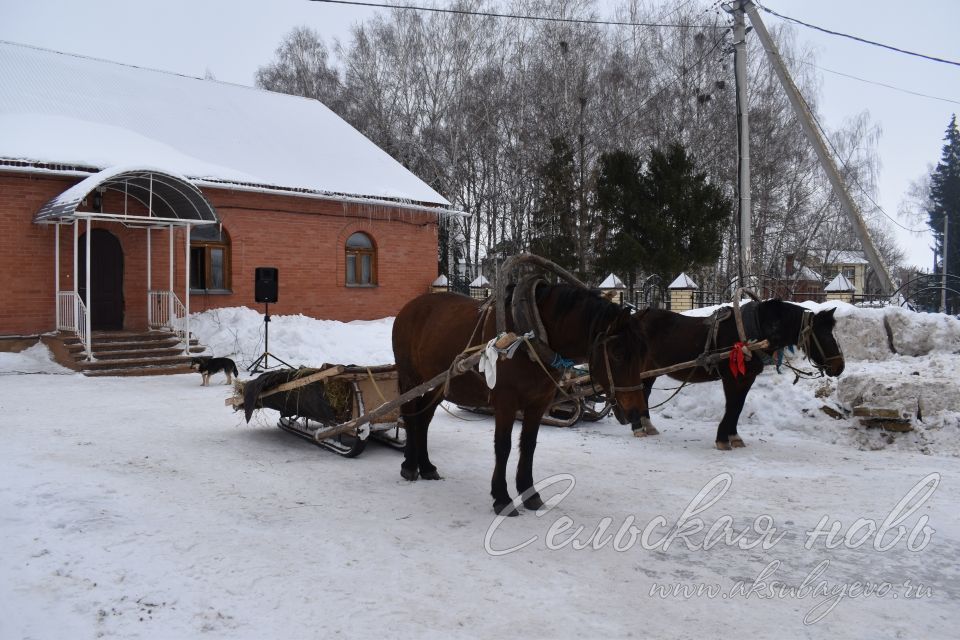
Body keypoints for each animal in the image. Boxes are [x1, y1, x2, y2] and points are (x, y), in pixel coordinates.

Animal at [392, 284, 652, 516]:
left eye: (642, 352)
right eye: (617, 353)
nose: (636, 412)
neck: (531, 338)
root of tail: (409, 307)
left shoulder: (538, 403)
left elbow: (528, 445)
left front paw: (530, 494)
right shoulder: (506, 403)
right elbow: (503, 446)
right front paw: (501, 498)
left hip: (438, 384)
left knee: (423, 420)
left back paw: (426, 467)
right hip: (410, 379)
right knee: (410, 416)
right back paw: (409, 466)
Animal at [632, 300, 844, 450]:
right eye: (824, 335)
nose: (839, 367)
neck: (755, 331)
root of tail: (638, 315)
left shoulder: (747, 377)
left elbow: (739, 406)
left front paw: (734, 437)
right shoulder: (731, 377)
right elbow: (732, 405)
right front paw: (722, 440)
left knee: (643, 392)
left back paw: (646, 425)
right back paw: (637, 427)